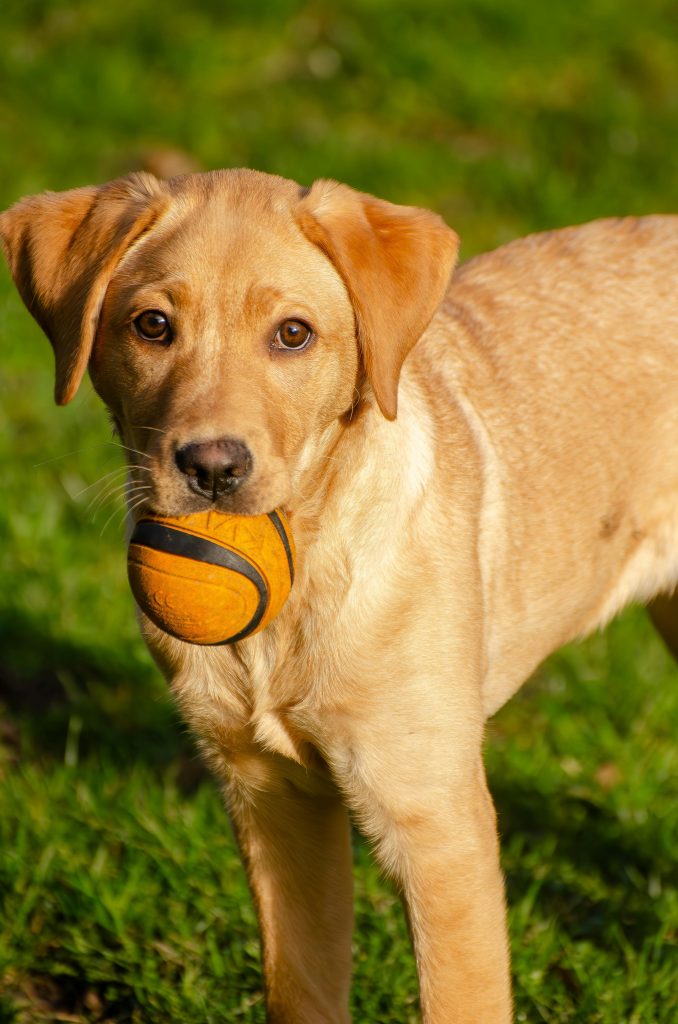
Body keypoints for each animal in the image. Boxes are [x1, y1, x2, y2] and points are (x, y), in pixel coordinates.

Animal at [1, 172, 678, 1019]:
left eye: (293, 335)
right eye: (152, 326)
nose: (213, 467)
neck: (301, 580)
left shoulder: (436, 821)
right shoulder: (271, 799)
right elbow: (302, 988)